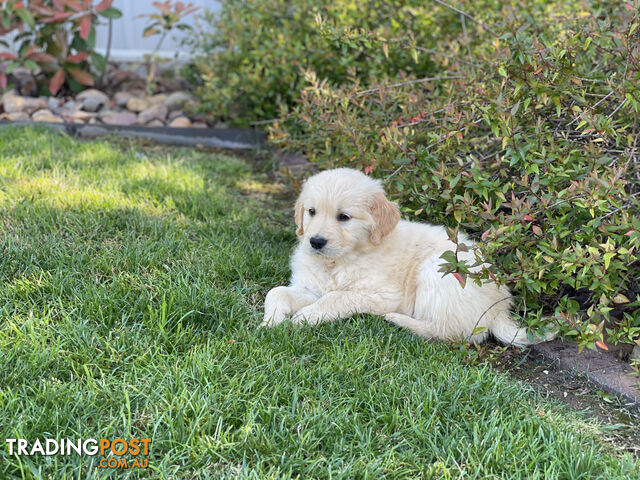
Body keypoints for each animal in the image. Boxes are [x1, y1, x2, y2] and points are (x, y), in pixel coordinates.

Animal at [262, 168, 528, 344]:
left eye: (344, 217)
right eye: (312, 212)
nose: (315, 242)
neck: (339, 261)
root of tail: (500, 306)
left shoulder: (381, 294)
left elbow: (336, 297)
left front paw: (303, 317)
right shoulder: (310, 288)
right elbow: (275, 292)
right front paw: (271, 321)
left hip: (439, 268)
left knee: (454, 332)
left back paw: (398, 320)